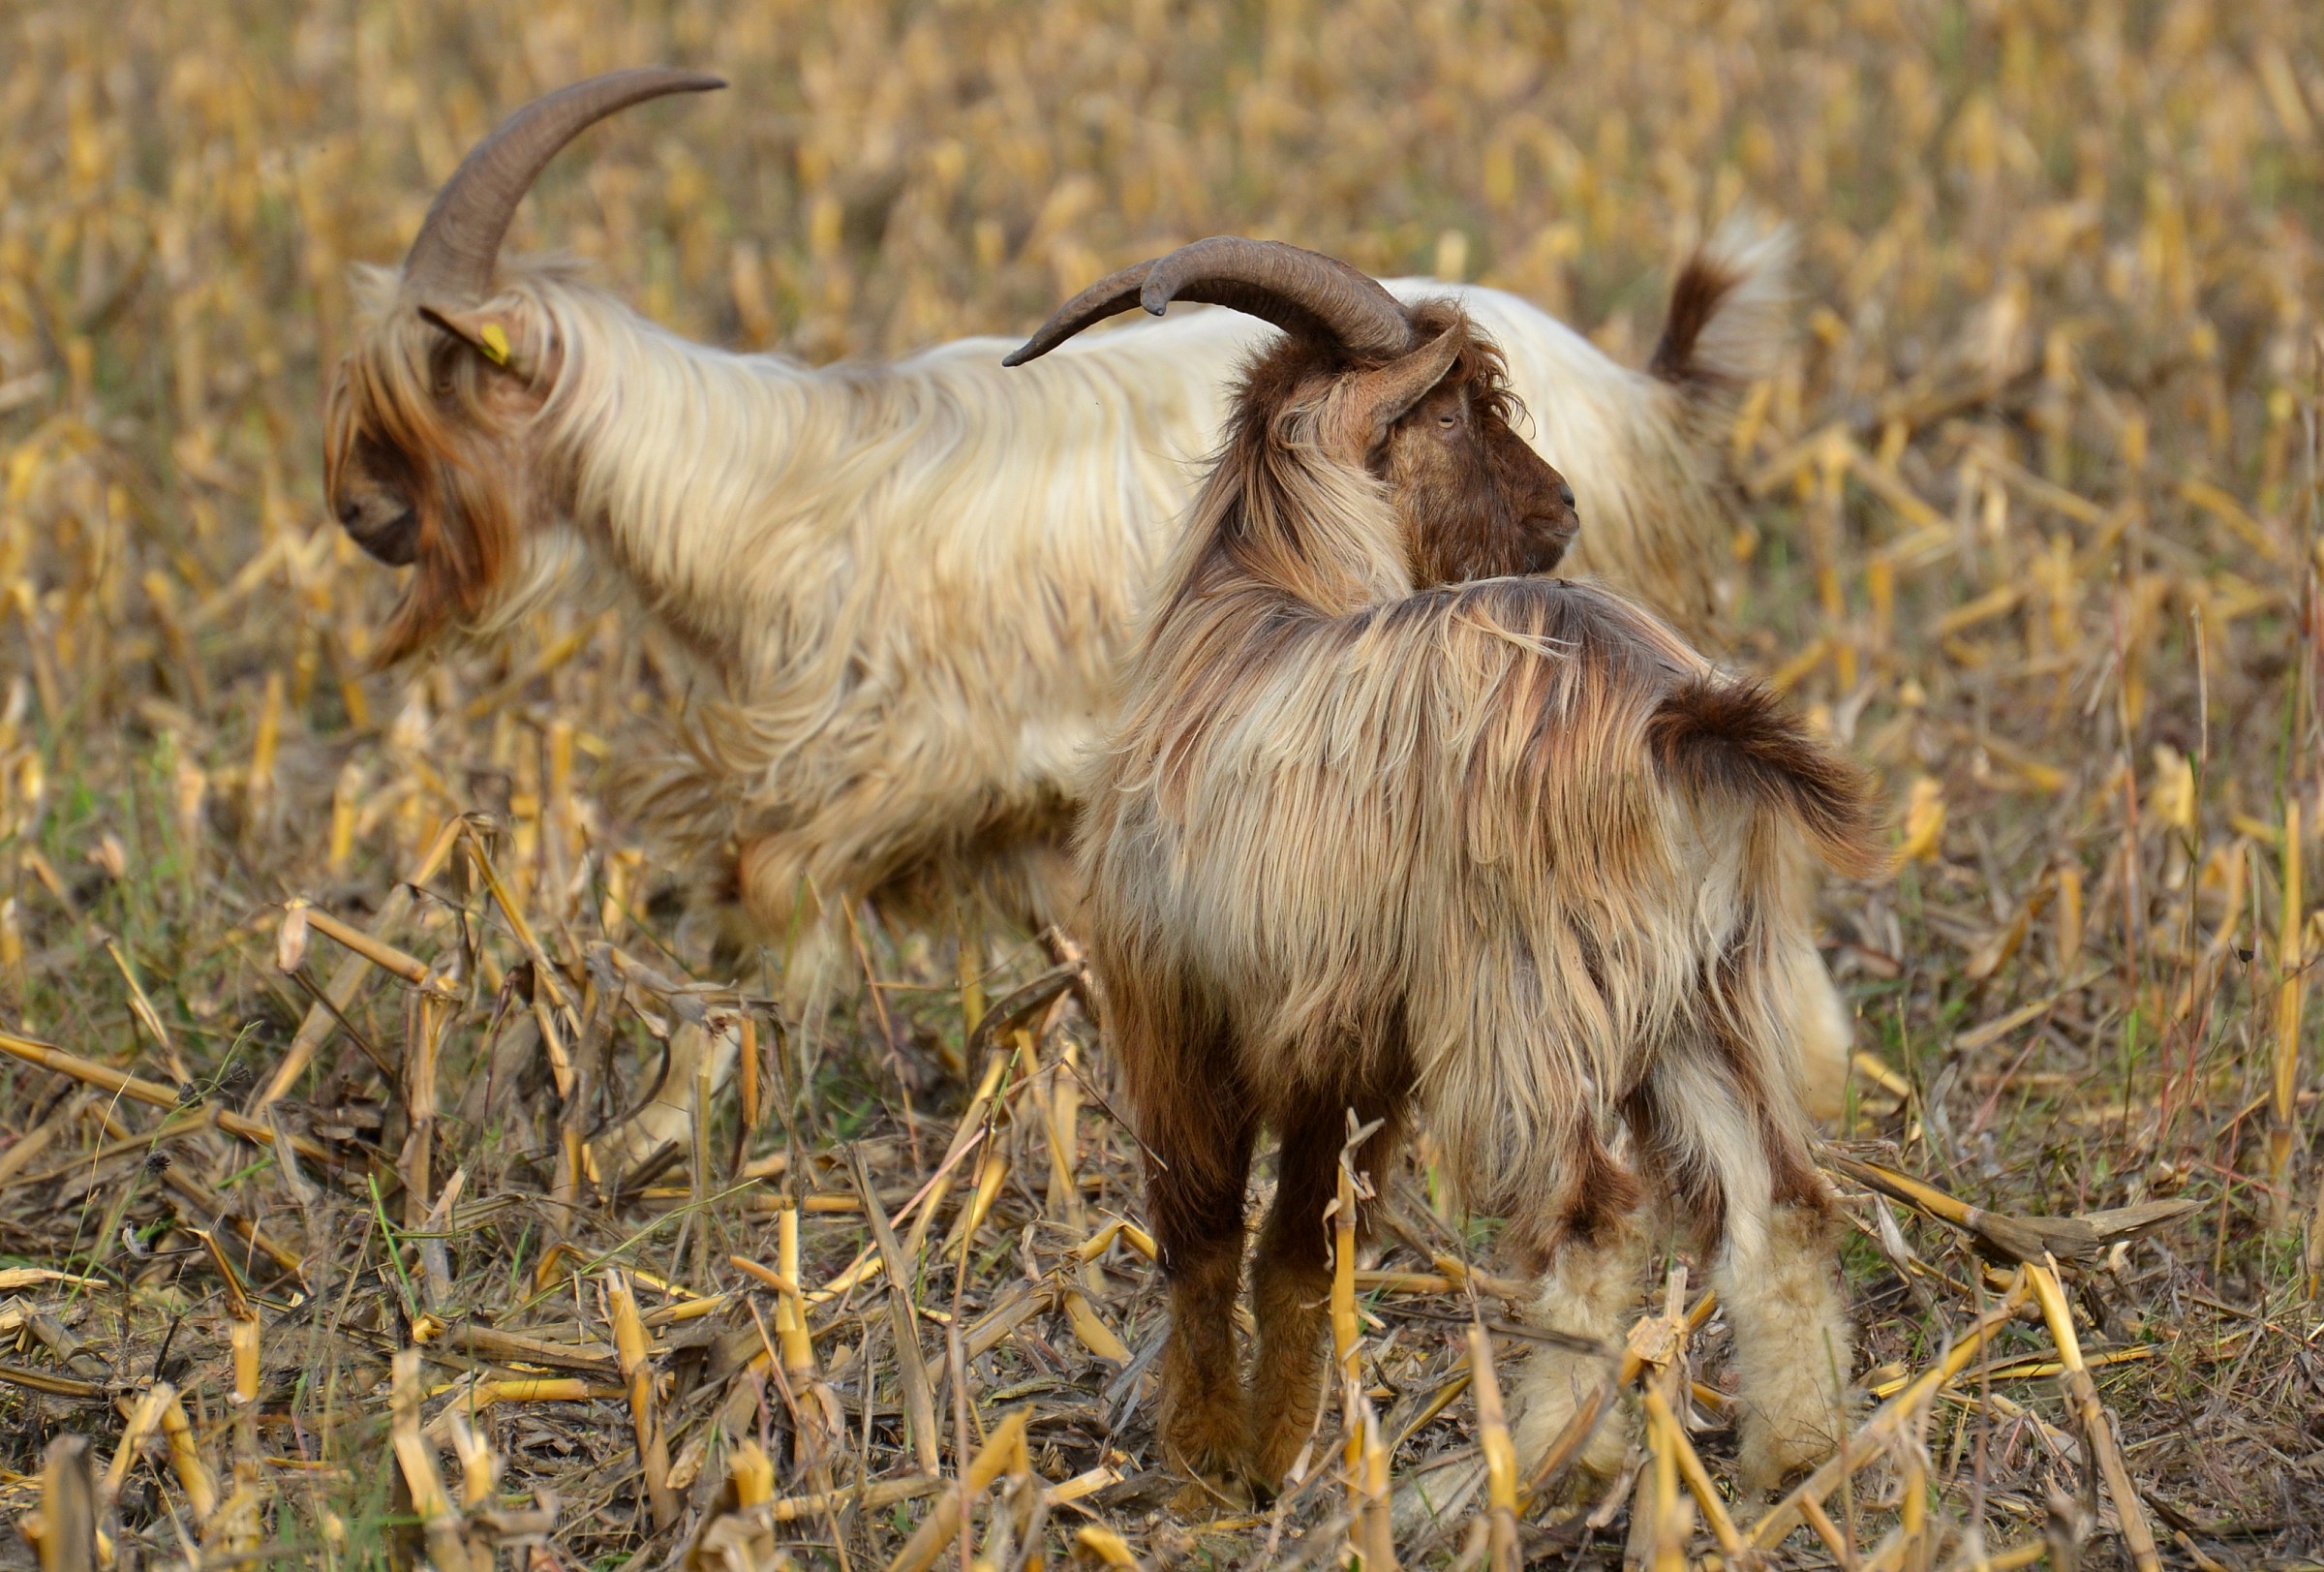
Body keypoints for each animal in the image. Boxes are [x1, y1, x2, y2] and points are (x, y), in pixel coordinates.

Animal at [1008, 238, 1880, 1498]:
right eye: (1458, 409)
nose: (1562, 506)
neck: (1257, 592)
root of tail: (1675, 720)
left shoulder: (1176, 1006)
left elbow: (1204, 1232)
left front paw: (1207, 1460)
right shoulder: (1350, 1053)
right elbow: (1302, 1248)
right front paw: (1277, 1452)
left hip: (1529, 1003)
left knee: (1593, 1214)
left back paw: (1555, 1460)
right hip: (1701, 996)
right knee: (1784, 1205)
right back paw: (1794, 1453)